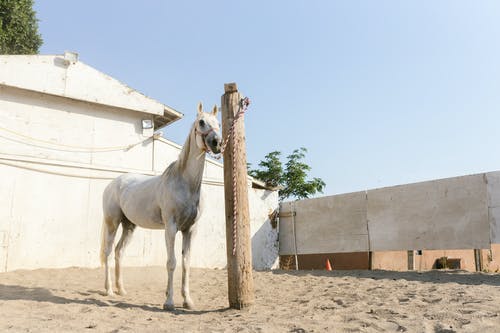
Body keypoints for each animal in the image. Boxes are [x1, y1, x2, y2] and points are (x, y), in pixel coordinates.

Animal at [99, 102, 221, 310]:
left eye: (218, 123)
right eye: (201, 122)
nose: (217, 143)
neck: (185, 184)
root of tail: (112, 184)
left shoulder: (190, 230)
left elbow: (186, 263)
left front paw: (187, 301)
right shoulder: (170, 228)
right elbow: (171, 262)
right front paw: (169, 302)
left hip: (129, 226)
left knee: (119, 252)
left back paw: (121, 290)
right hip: (112, 223)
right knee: (108, 252)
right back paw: (108, 291)